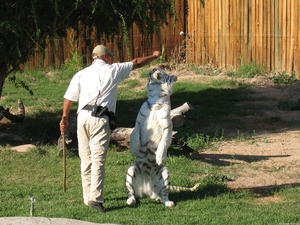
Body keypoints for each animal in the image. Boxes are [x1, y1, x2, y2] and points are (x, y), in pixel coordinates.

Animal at [125, 68, 200, 207]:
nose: (154, 69)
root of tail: (146, 191)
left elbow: (164, 142)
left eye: (163, 71)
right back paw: (130, 200)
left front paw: (160, 157)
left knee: (163, 194)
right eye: (154, 69)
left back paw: (167, 202)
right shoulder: (138, 123)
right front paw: (133, 149)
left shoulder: (167, 127)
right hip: (131, 170)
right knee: (131, 193)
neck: (155, 99)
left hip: (165, 173)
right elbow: (134, 135)